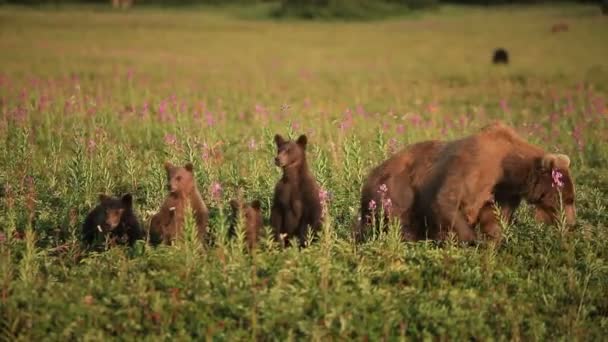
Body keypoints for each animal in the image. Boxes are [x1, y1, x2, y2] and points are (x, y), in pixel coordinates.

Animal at [358, 121, 576, 242]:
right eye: (566, 199)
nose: (572, 224)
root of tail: (370, 175)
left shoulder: (504, 190)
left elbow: (495, 216)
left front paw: (492, 240)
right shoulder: (475, 165)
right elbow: (446, 201)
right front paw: (471, 239)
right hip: (397, 187)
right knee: (400, 218)